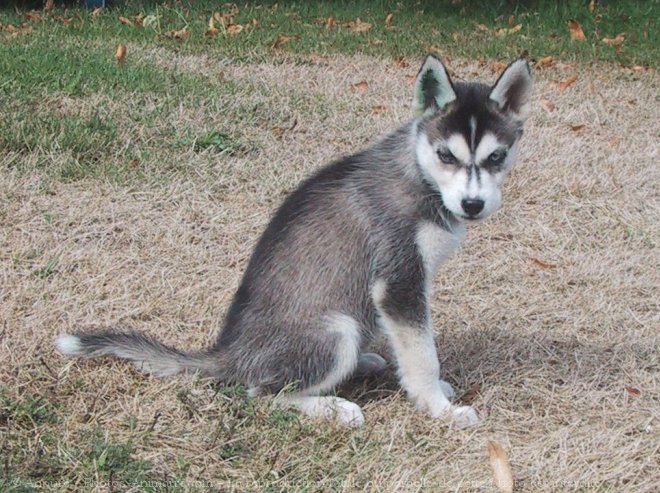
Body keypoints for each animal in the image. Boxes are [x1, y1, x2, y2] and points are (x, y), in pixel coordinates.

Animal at [55, 56, 532, 426]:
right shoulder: (398, 281)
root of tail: (230, 354)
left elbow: (415, 346)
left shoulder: (411, 283)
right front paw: (439, 409)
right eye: (446, 155)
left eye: (497, 156)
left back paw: (364, 363)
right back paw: (333, 408)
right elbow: (422, 355)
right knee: (261, 394)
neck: (420, 176)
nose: (473, 204)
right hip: (334, 328)